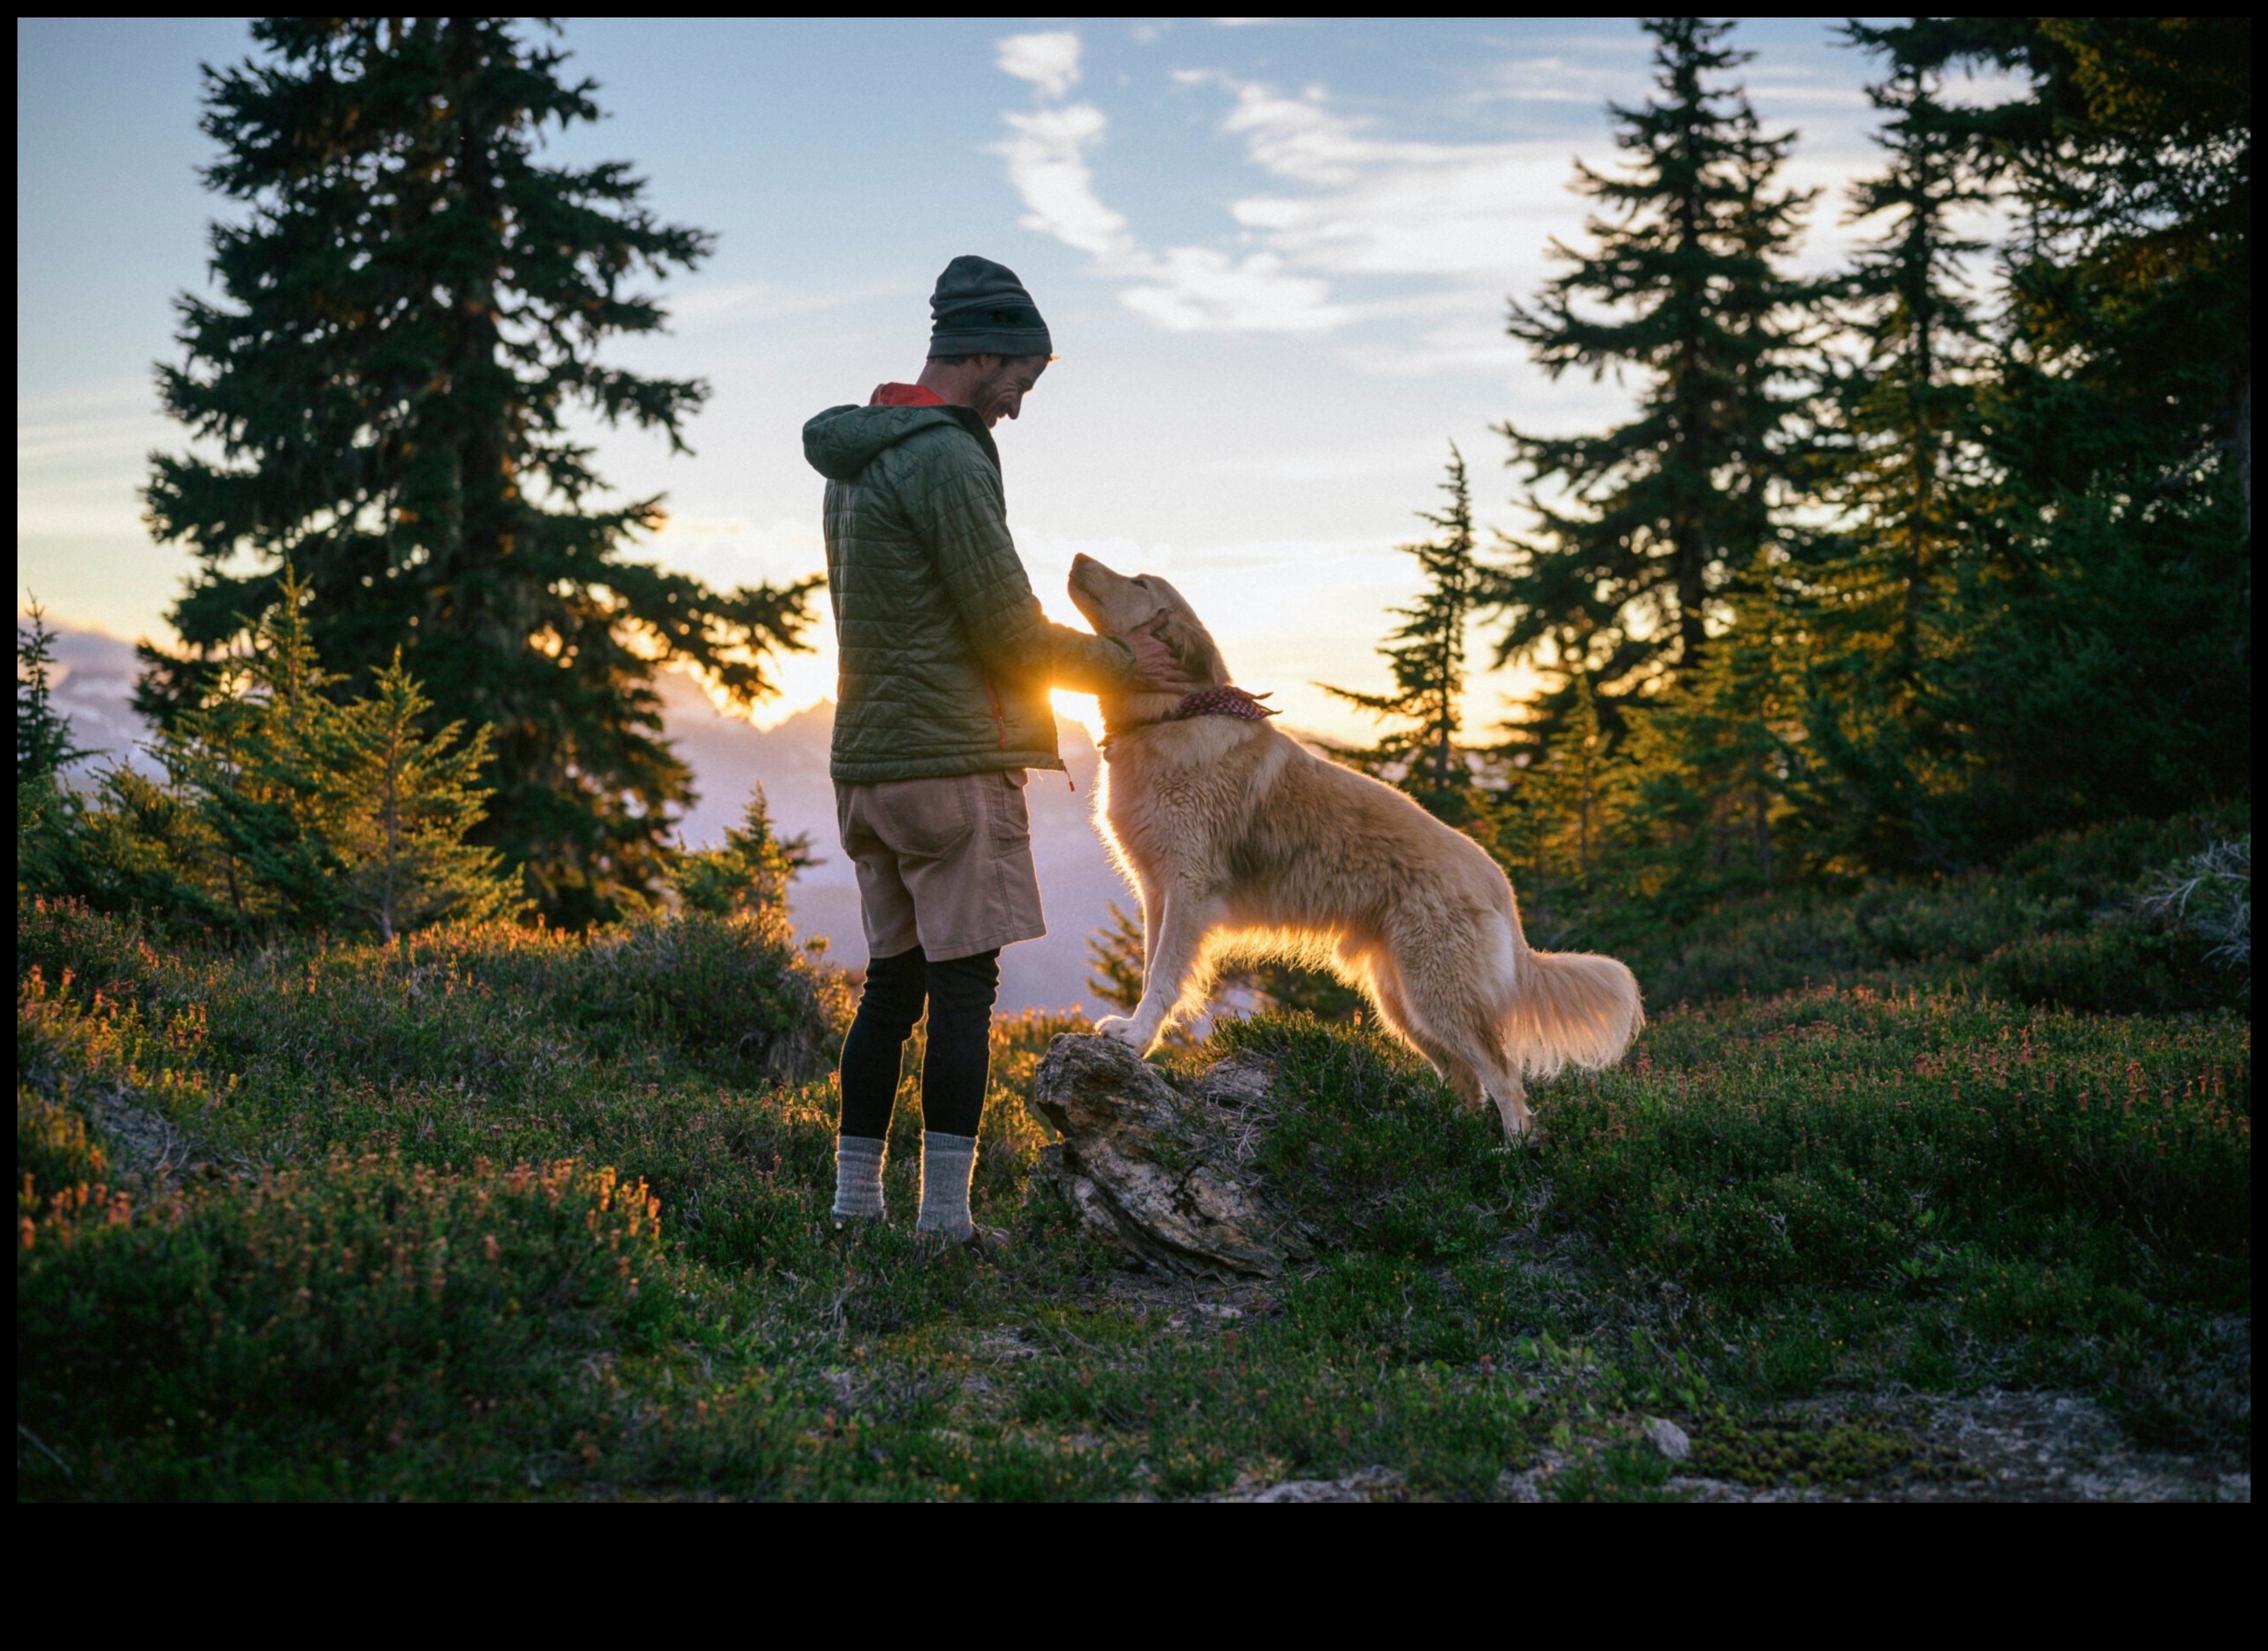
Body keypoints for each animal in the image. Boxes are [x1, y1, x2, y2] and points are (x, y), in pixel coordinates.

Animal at [1070, 550, 1642, 1134]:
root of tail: (1496, 881)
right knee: (1466, 1079)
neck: (1172, 715)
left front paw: (1137, 1039)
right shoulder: (1157, 893)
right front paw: (1138, 1035)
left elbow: (1163, 978)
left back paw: (1511, 1150)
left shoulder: (1187, 891)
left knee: (1505, 1079)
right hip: (1403, 1001)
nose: (1077, 557)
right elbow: (1149, 971)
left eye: (1139, 583)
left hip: (1438, 994)